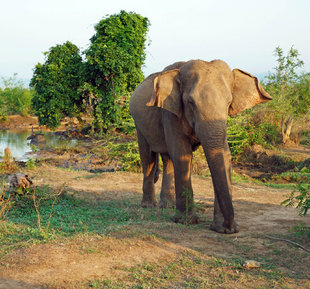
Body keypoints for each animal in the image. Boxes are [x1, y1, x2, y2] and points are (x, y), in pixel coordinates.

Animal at [128, 59, 272, 233]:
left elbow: (225, 154)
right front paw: (186, 221)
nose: (231, 227)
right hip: (138, 123)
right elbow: (182, 154)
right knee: (148, 157)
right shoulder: (170, 114)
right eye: (190, 103)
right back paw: (149, 206)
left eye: (228, 103)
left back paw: (167, 206)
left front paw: (220, 229)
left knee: (168, 159)